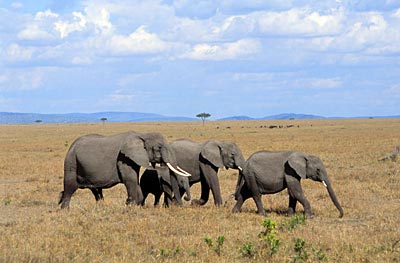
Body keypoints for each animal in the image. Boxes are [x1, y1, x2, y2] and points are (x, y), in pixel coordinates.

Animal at [58, 132, 191, 210]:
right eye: (158, 148)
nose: (181, 203)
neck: (141, 135)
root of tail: (71, 146)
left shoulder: (132, 158)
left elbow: (135, 181)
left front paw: (133, 205)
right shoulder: (123, 158)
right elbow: (130, 180)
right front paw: (131, 206)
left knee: (96, 190)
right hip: (71, 161)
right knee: (70, 186)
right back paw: (65, 209)